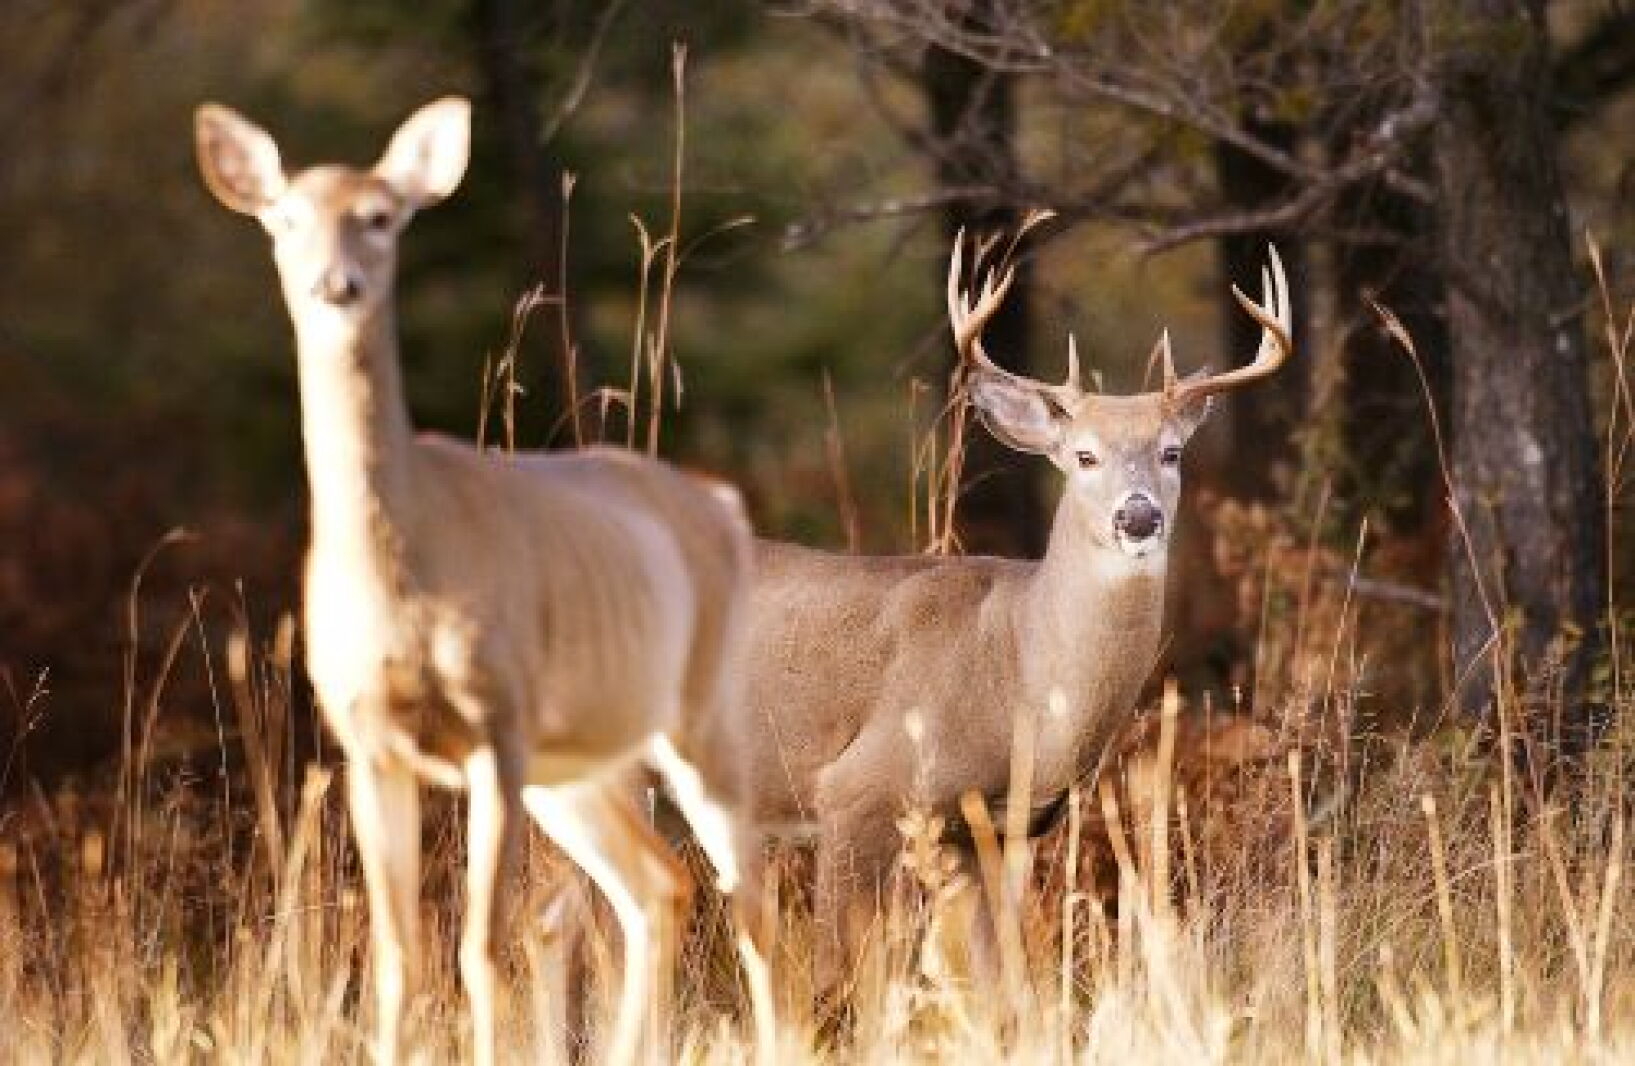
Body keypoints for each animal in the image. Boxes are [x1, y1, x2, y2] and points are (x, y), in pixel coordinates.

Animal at [194, 97, 773, 1066]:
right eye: (285, 219)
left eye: (380, 216)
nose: (336, 285)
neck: (404, 573)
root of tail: (724, 506)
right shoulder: (367, 741)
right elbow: (398, 955)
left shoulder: (495, 727)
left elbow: (481, 945)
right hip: (578, 762)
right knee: (658, 886)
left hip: (696, 713)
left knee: (748, 896)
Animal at [734, 232, 1291, 1002]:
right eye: (1083, 455)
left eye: (1171, 452)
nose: (1138, 515)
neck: (1020, 679)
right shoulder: (853, 790)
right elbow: (833, 980)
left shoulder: (997, 828)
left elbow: (1004, 985)